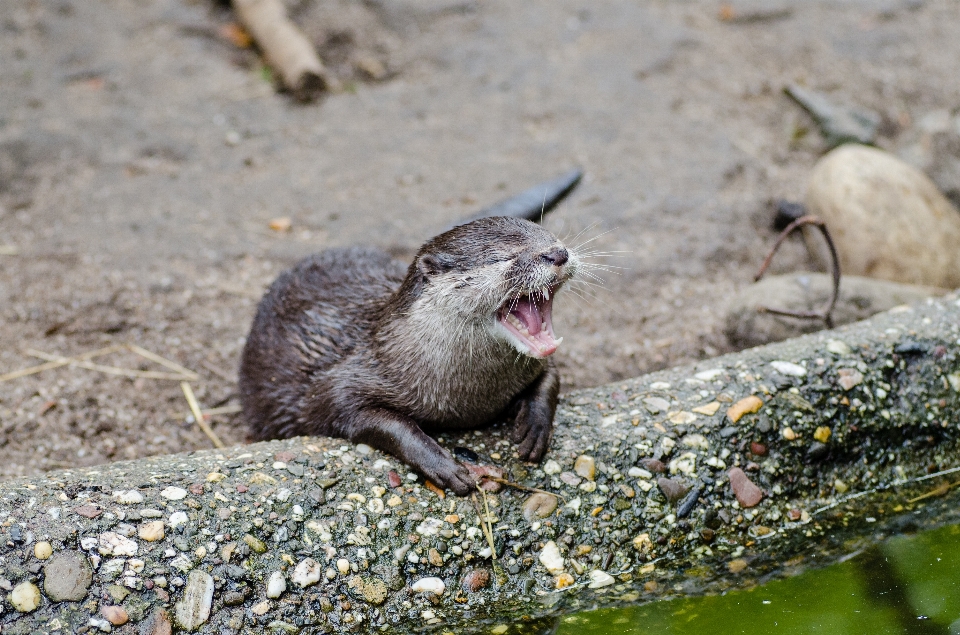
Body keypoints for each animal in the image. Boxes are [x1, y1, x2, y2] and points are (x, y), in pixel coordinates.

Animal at [242, 219, 576, 496]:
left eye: (551, 236)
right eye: (502, 257)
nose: (558, 253)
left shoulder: (537, 363)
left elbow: (551, 377)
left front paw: (535, 426)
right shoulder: (340, 387)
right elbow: (381, 423)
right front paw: (443, 466)